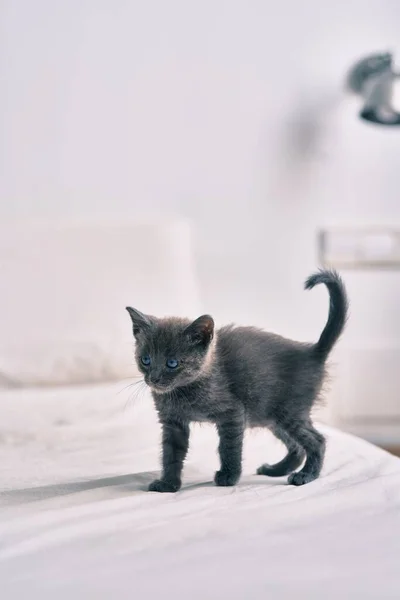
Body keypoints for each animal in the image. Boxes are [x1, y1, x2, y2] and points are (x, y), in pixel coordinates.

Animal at [127, 270, 346, 490]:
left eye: (172, 363)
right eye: (145, 360)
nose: (153, 378)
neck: (184, 390)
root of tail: (313, 352)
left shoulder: (232, 412)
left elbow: (229, 447)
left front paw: (229, 476)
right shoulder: (173, 422)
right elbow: (171, 453)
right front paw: (168, 483)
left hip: (289, 411)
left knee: (317, 440)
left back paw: (306, 475)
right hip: (271, 415)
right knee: (297, 447)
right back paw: (276, 469)